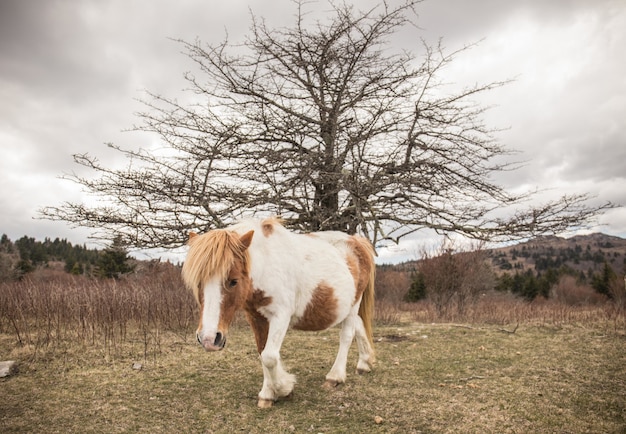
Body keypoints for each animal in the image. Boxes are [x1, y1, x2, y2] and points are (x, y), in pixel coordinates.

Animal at [180, 219, 376, 408]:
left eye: (233, 281)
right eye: (199, 283)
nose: (208, 339)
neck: (266, 266)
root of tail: (357, 241)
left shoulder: (280, 316)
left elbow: (269, 356)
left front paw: (283, 389)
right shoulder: (256, 317)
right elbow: (262, 352)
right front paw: (269, 394)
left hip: (353, 305)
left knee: (347, 335)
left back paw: (335, 377)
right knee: (359, 326)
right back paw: (364, 363)